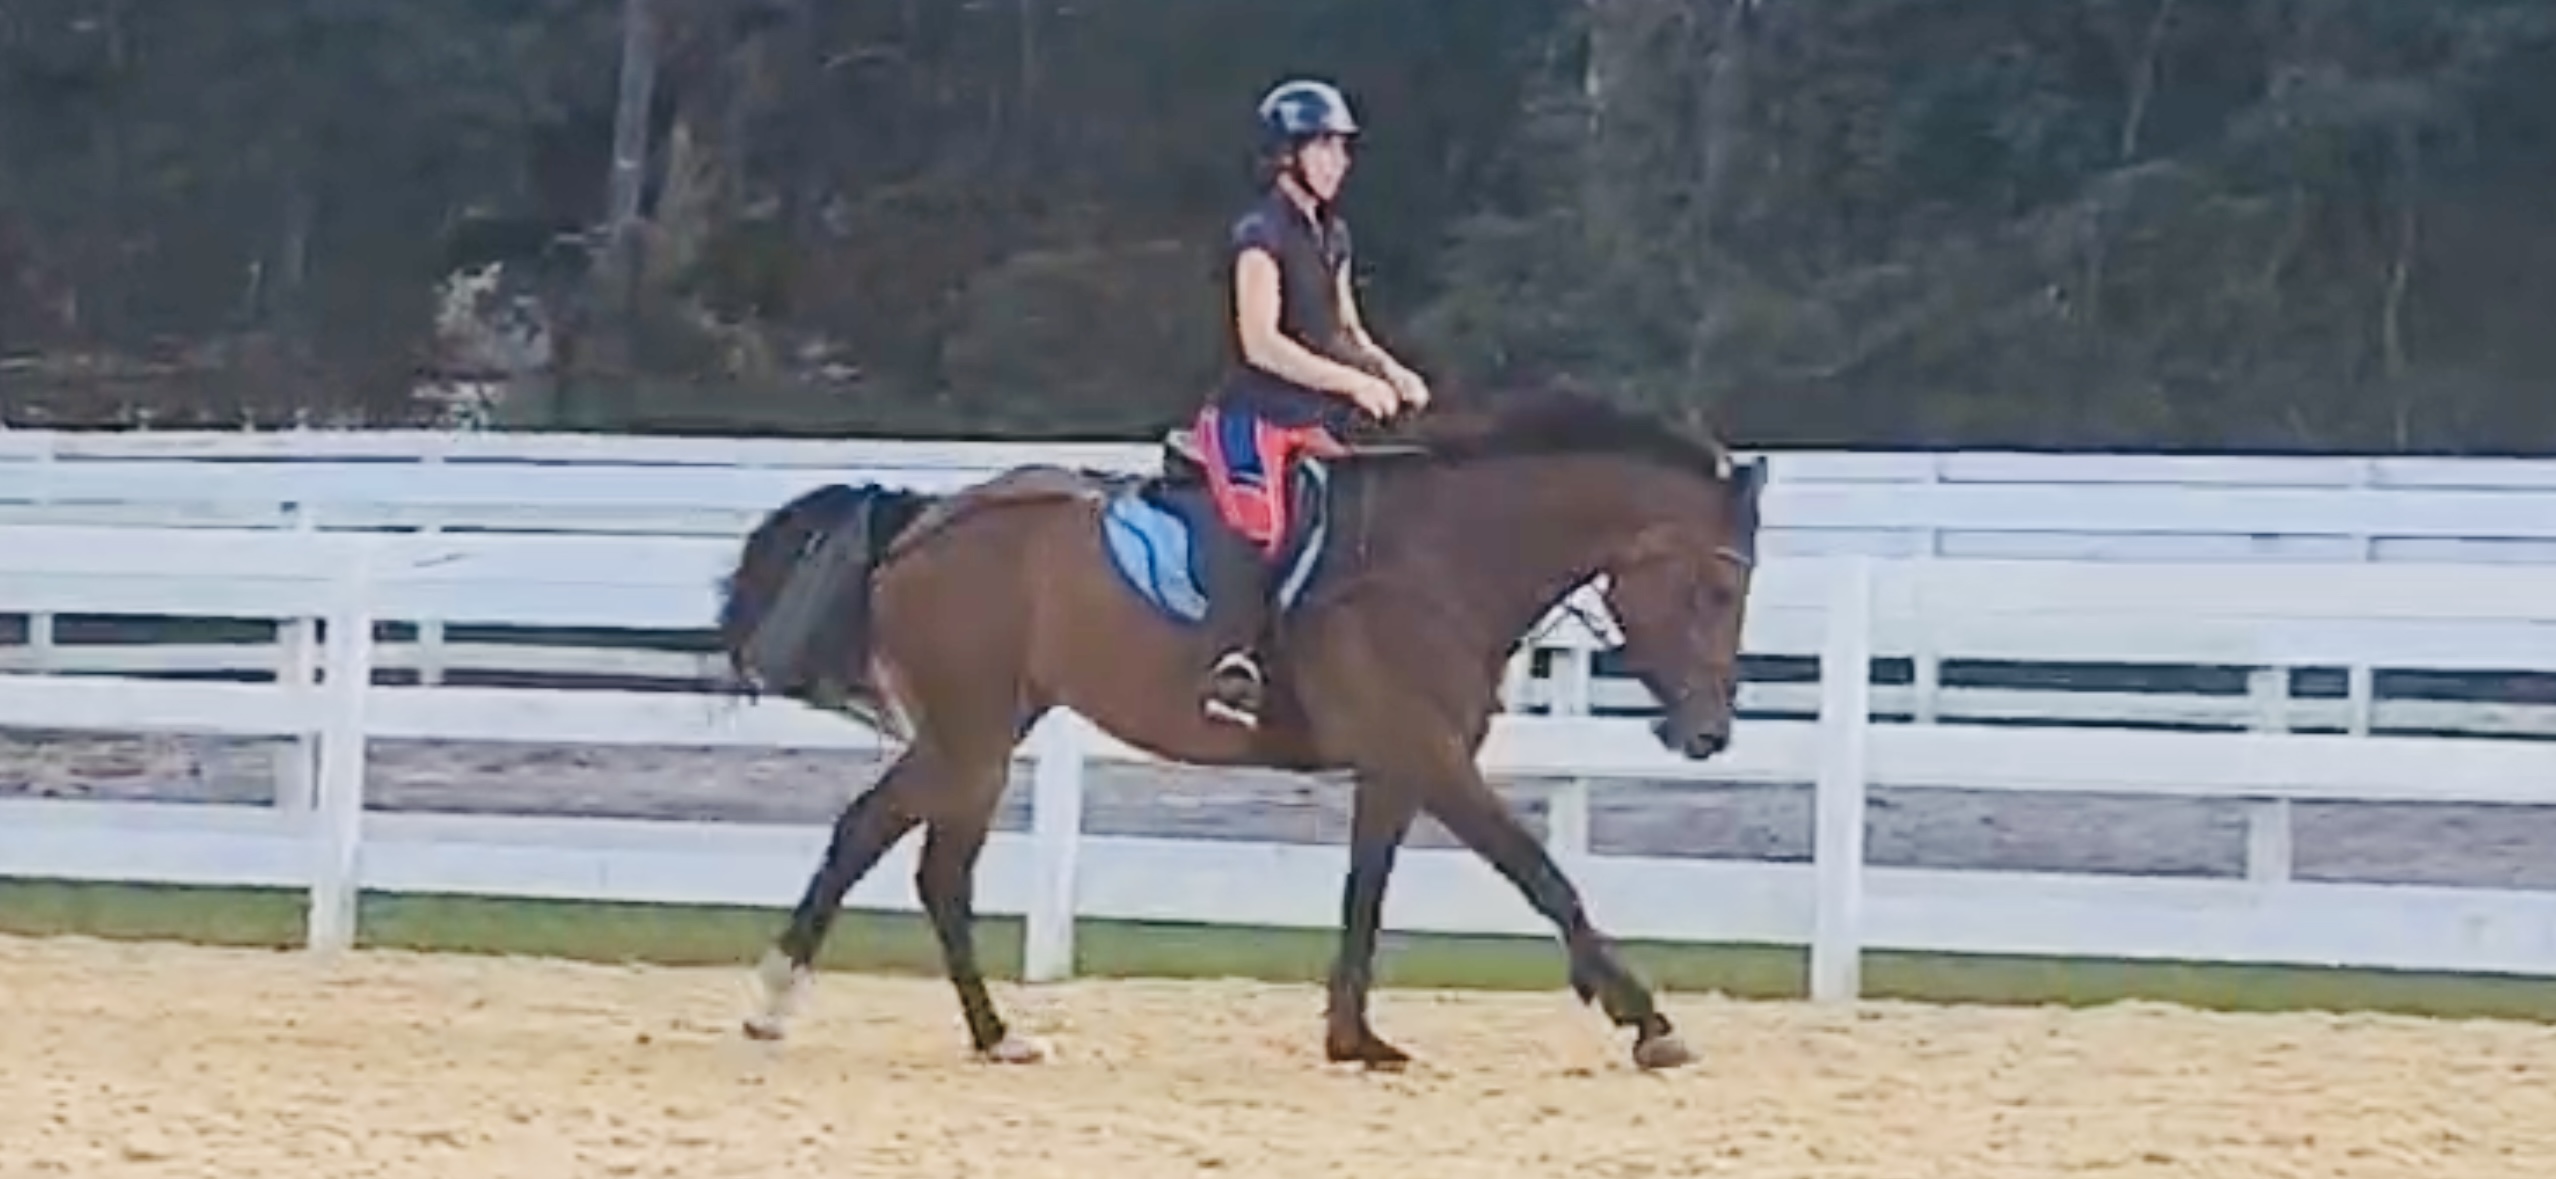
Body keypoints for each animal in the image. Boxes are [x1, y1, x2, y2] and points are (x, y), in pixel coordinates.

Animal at [712, 390, 1768, 1072]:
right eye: (1717, 590)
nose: (1709, 734)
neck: (1440, 559)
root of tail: (921, 520)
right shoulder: (1432, 757)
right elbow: (1541, 872)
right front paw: (1646, 1018)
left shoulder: (1395, 767)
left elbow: (1365, 893)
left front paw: (1355, 1038)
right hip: (971, 736)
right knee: (907, 853)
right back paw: (860, 1013)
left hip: (982, 730)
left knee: (899, 848)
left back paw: (935, 1024)